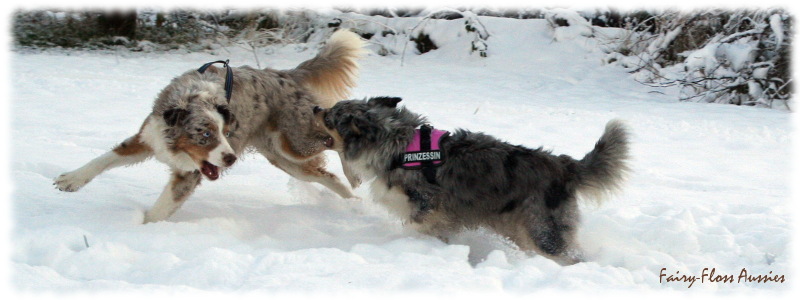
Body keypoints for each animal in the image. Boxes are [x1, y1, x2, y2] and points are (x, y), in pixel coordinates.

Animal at [314, 97, 632, 264]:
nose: (316, 108)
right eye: (333, 108)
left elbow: (420, 225)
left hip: (542, 229)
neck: (394, 142)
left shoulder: (428, 203)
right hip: (520, 227)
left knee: (570, 254)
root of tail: (565, 165)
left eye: (332, 116)